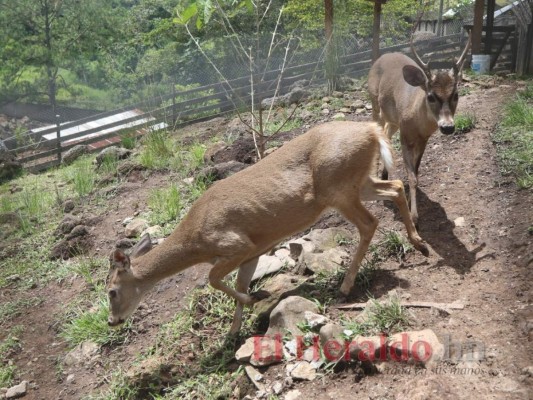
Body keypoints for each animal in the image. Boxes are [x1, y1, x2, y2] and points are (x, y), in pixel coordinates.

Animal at [105, 121, 428, 334]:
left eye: (111, 292)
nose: (112, 321)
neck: (195, 241)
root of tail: (373, 129)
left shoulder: (236, 244)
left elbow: (212, 278)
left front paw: (255, 299)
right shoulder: (252, 253)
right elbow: (237, 284)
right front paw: (234, 332)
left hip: (337, 187)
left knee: (370, 223)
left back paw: (346, 287)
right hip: (357, 182)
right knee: (395, 186)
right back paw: (419, 243)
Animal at [366, 36, 470, 227]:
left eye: (456, 95)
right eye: (430, 96)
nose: (447, 127)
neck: (417, 120)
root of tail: (383, 56)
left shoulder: (424, 139)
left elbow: (416, 171)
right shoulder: (405, 137)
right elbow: (412, 176)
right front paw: (413, 216)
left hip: (393, 118)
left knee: (386, 132)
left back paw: (385, 173)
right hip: (375, 103)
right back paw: (376, 179)